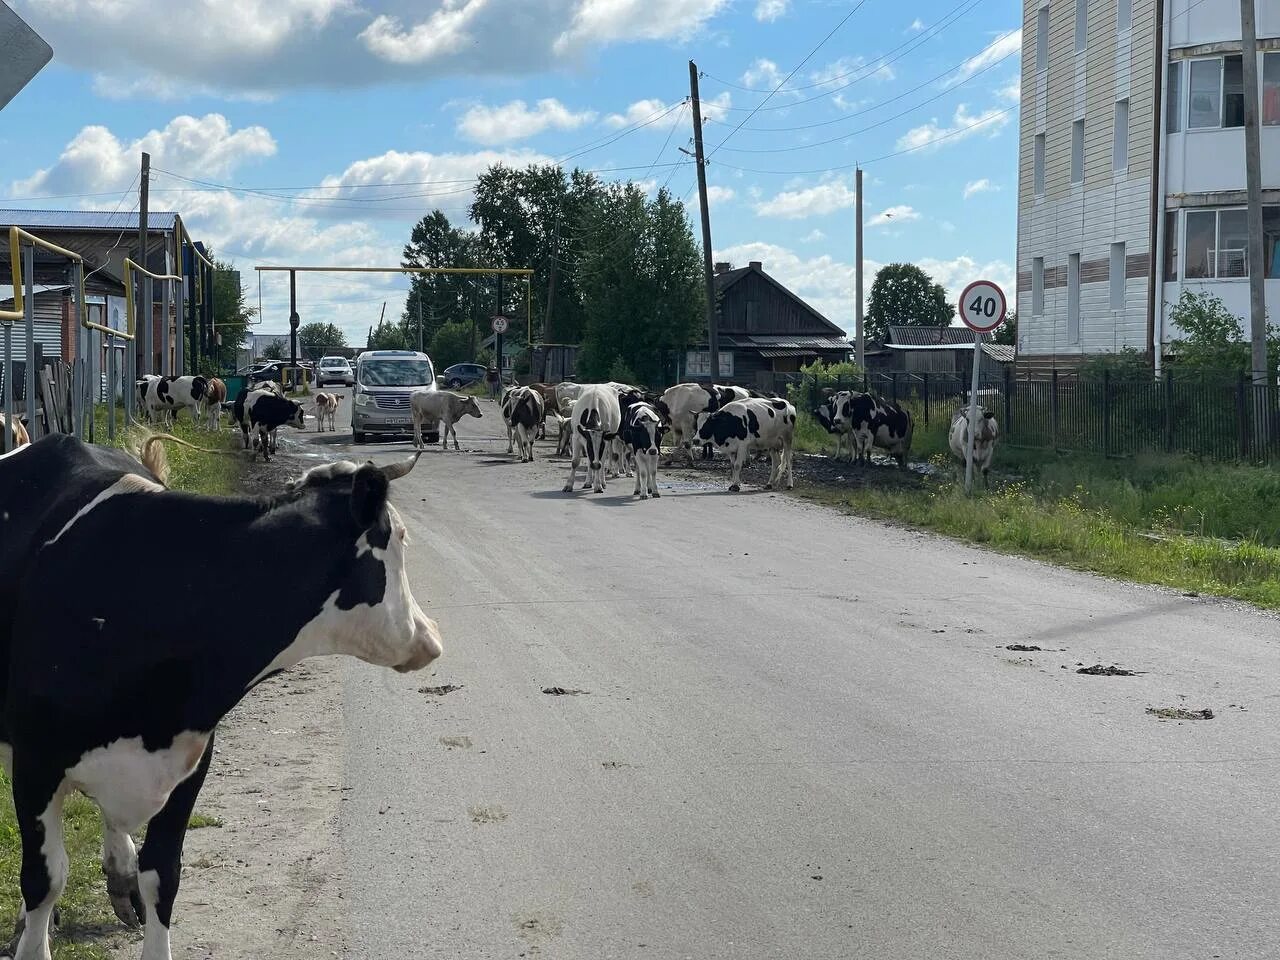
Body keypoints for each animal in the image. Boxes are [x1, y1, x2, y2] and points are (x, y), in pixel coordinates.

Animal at [0, 437, 442, 960]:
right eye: (399, 541)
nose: (431, 639)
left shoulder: (190, 761)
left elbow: (163, 875)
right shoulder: (36, 762)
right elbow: (44, 878)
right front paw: (32, 935)